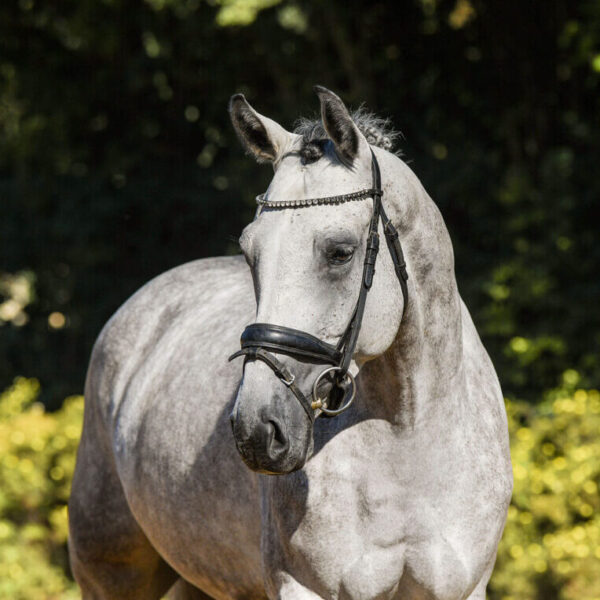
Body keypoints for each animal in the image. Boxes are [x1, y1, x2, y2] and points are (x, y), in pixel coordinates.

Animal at [69, 85, 510, 600]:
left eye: (340, 252)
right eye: (249, 252)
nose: (258, 430)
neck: (410, 436)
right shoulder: (302, 587)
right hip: (112, 569)